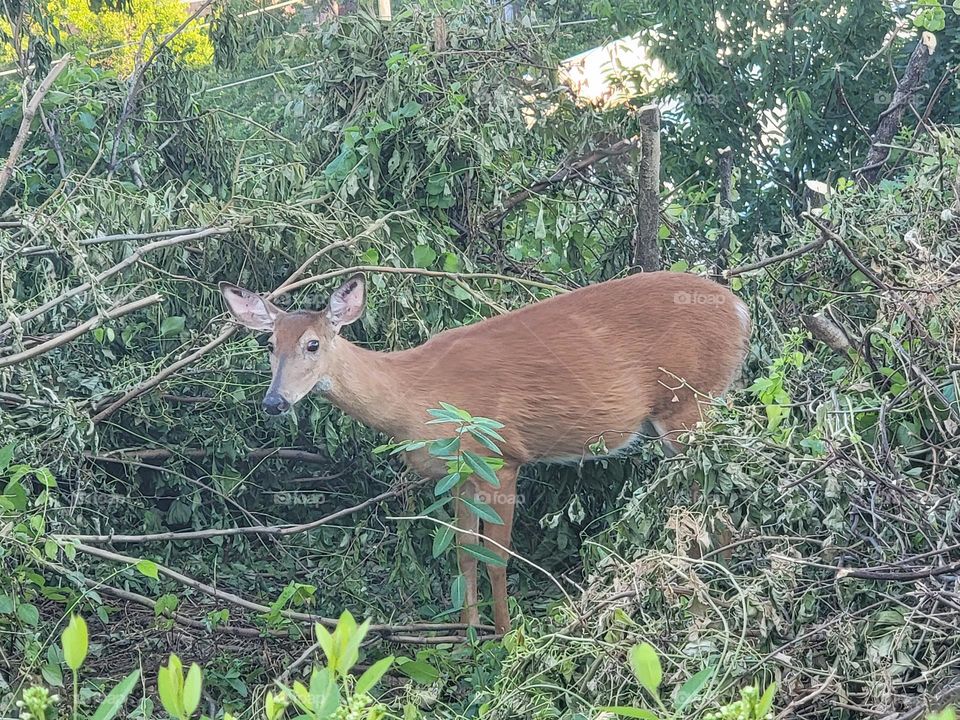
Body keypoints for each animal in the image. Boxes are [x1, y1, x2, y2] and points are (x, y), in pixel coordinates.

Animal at [219, 271, 751, 634]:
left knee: (713, 503)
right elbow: (463, 554)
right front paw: (468, 632)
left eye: (312, 344)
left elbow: (496, 556)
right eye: (269, 343)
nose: (274, 402)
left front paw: (506, 635)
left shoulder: (501, 458)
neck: (413, 394)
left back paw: (714, 598)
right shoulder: (457, 474)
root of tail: (741, 310)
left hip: (689, 404)